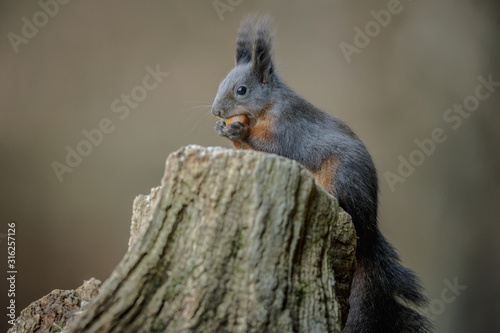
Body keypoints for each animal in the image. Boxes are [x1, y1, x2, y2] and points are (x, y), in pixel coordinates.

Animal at [211, 15, 430, 332]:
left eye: (241, 90)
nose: (216, 112)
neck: (266, 107)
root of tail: (370, 228)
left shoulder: (288, 127)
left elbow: (274, 147)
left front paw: (239, 131)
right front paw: (225, 130)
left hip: (341, 177)